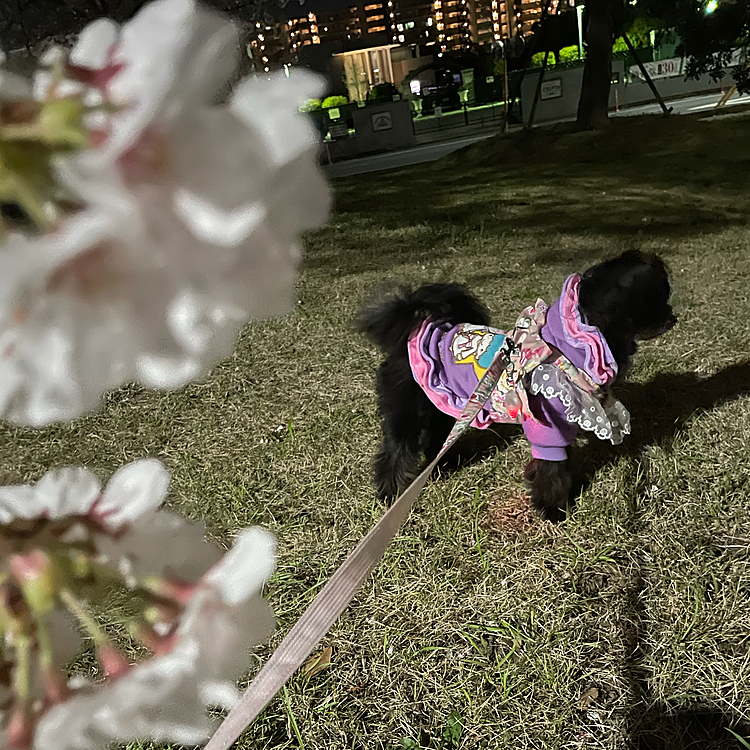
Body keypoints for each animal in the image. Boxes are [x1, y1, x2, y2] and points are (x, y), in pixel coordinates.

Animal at [356, 250, 680, 520]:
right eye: (654, 301)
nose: (672, 316)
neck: (569, 344)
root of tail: (414, 330)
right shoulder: (547, 425)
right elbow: (550, 467)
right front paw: (553, 510)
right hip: (407, 412)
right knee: (396, 451)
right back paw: (390, 493)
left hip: (440, 404)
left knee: (438, 436)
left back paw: (445, 465)